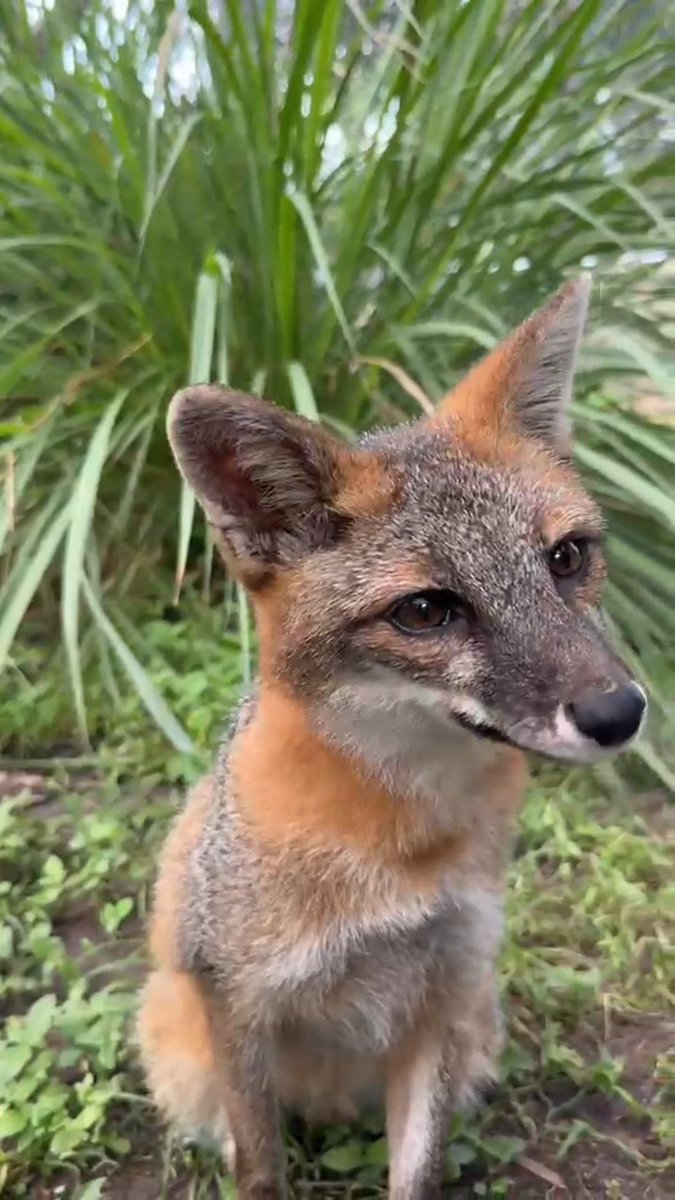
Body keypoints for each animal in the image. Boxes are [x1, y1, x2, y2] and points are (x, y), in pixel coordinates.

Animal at [137, 275, 646, 1198]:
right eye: (424, 611)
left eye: (565, 557)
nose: (618, 713)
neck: (400, 850)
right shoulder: (240, 1008)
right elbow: (260, 1171)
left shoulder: (440, 1000)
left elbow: (419, 1171)